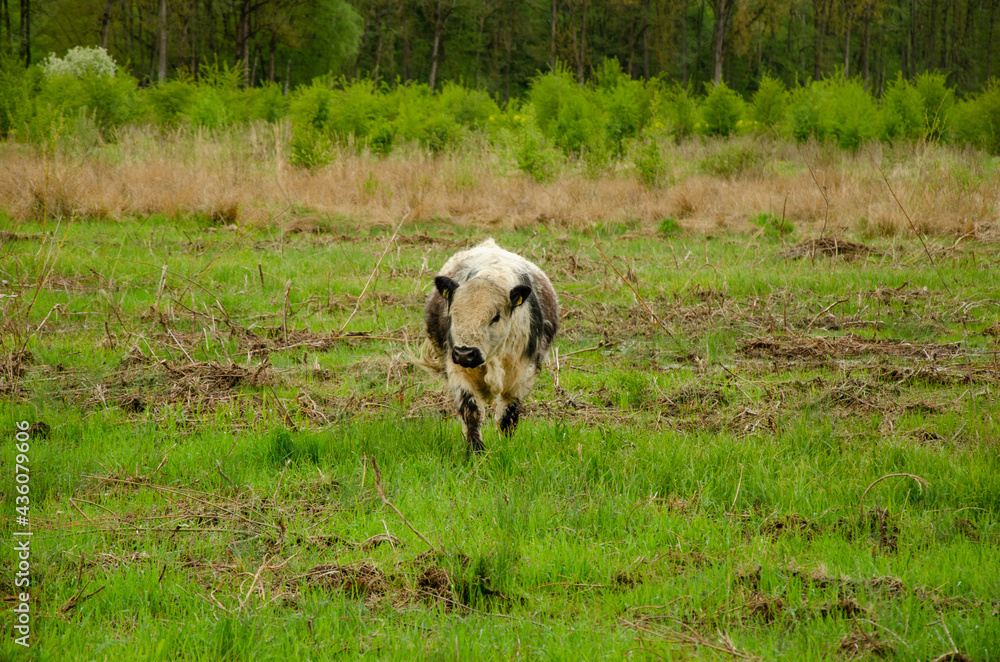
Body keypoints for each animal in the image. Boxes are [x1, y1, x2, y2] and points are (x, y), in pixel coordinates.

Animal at [422, 241, 560, 460]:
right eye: (453, 313)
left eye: (495, 317)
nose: (465, 353)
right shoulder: (458, 371)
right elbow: (471, 412)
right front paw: (475, 451)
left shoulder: (521, 377)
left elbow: (507, 418)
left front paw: (505, 448)